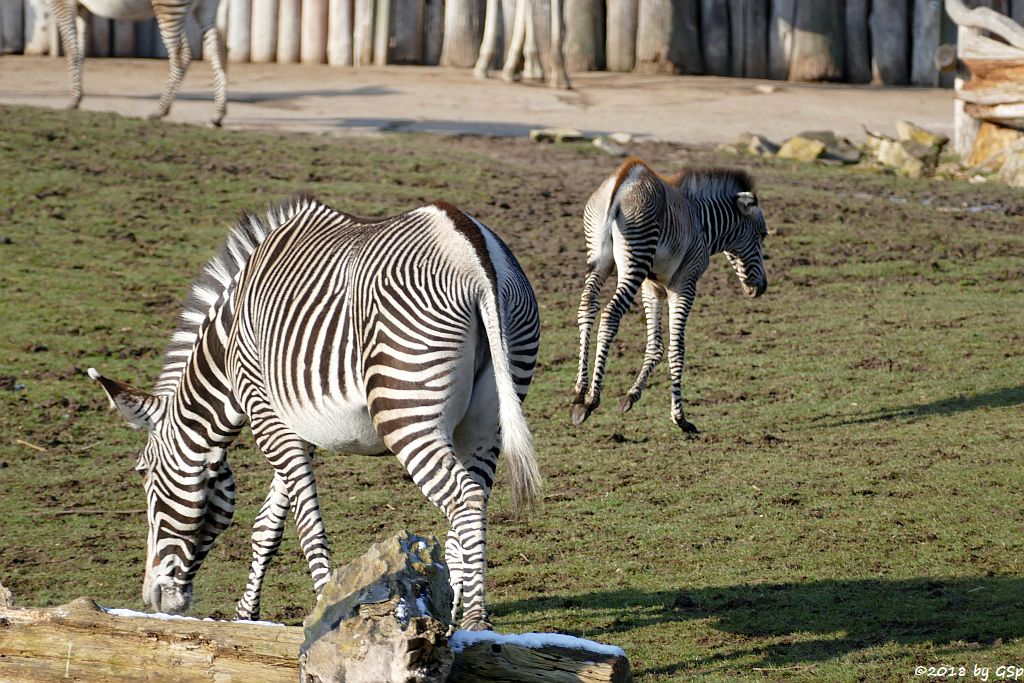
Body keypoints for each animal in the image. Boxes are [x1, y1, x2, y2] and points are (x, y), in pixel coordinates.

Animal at [49, 0, 226, 125]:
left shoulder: (62, 2)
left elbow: (71, 50)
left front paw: (73, 101)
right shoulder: (83, 8)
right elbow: (81, 52)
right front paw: (78, 98)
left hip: (169, 7)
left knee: (182, 56)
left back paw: (159, 111)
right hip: (205, 9)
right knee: (216, 54)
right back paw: (218, 114)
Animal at [86, 193, 544, 630]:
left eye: (144, 473)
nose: (153, 598)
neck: (228, 342)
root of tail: (471, 252)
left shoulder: (265, 413)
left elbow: (306, 525)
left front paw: (327, 607)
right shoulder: (293, 424)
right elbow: (267, 526)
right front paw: (246, 614)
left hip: (407, 410)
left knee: (464, 498)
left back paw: (475, 617)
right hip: (487, 418)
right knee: (472, 502)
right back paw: (456, 611)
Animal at [569, 158, 770, 432]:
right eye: (762, 235)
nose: (761, 287)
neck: (701, 222)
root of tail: (625, 179)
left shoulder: (651, 287)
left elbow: (655, 346)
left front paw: (631, 396)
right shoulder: (684, 284)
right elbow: (677, 348)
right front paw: (680, 418)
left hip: (601, 260)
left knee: (587, 306)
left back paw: (579, 394)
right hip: (635, 260)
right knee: (610, 314)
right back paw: (591, 399)